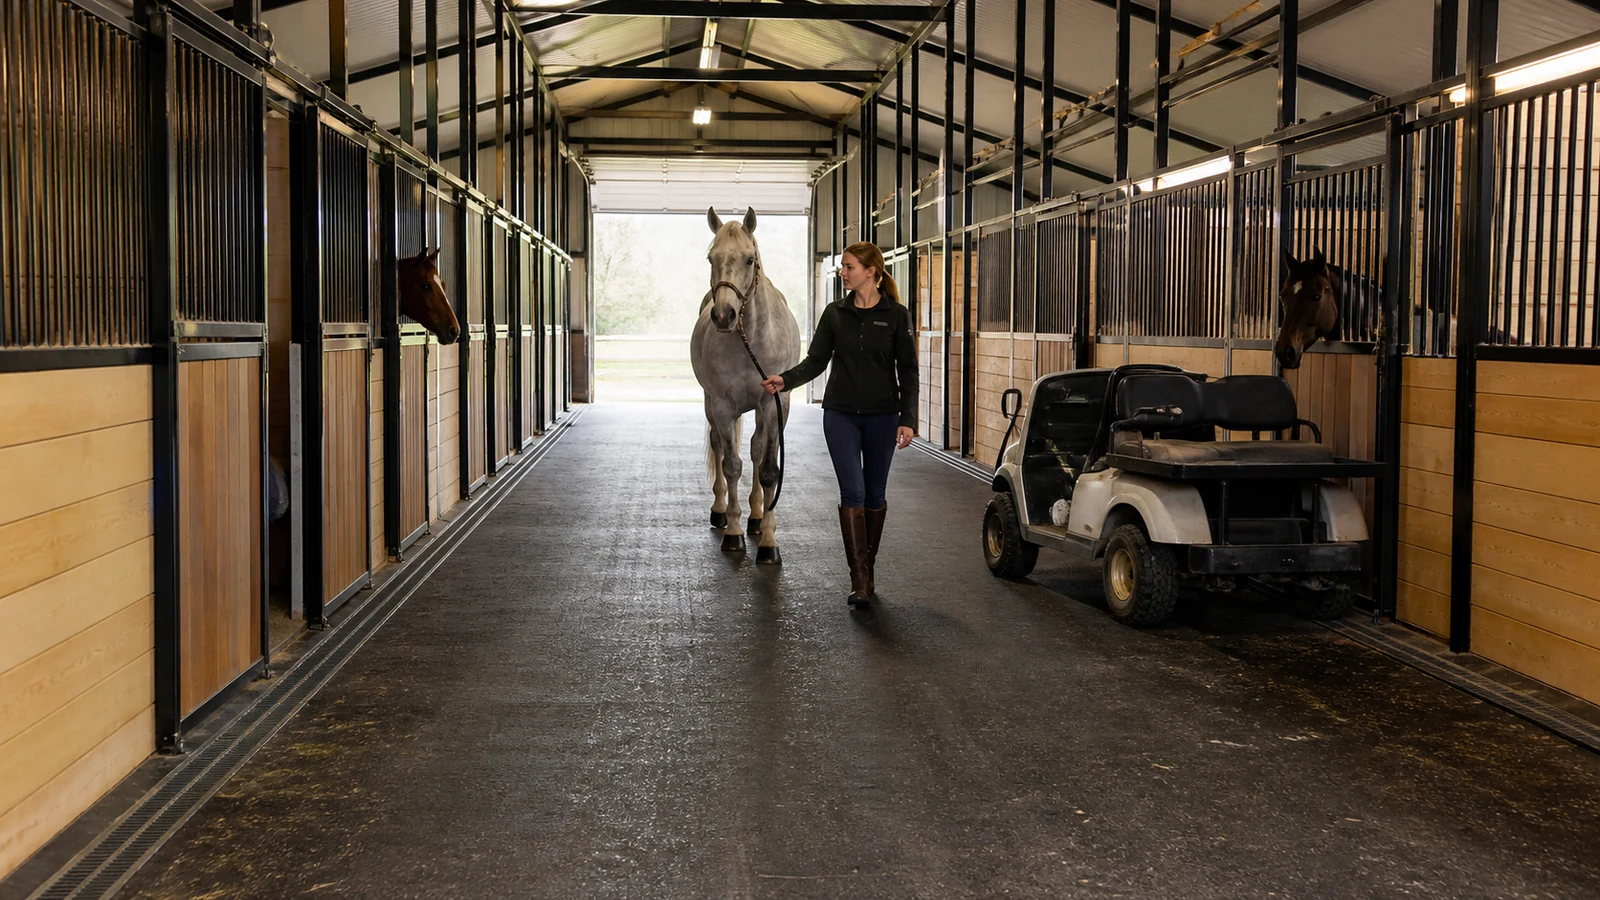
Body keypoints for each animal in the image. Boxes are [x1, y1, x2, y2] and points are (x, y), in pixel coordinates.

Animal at [689, 207, 802, 564]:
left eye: (750, 259)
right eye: (711, 257)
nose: (724, 315)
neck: (749, 339)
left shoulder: (774, 404)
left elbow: (767, 468)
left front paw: (767, 539)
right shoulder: (723, 406)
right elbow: (730, 464)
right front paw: (734, 532)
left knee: (755, 448)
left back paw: (756, 516)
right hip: (711, 405)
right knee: (720, 446)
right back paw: (722, 511)